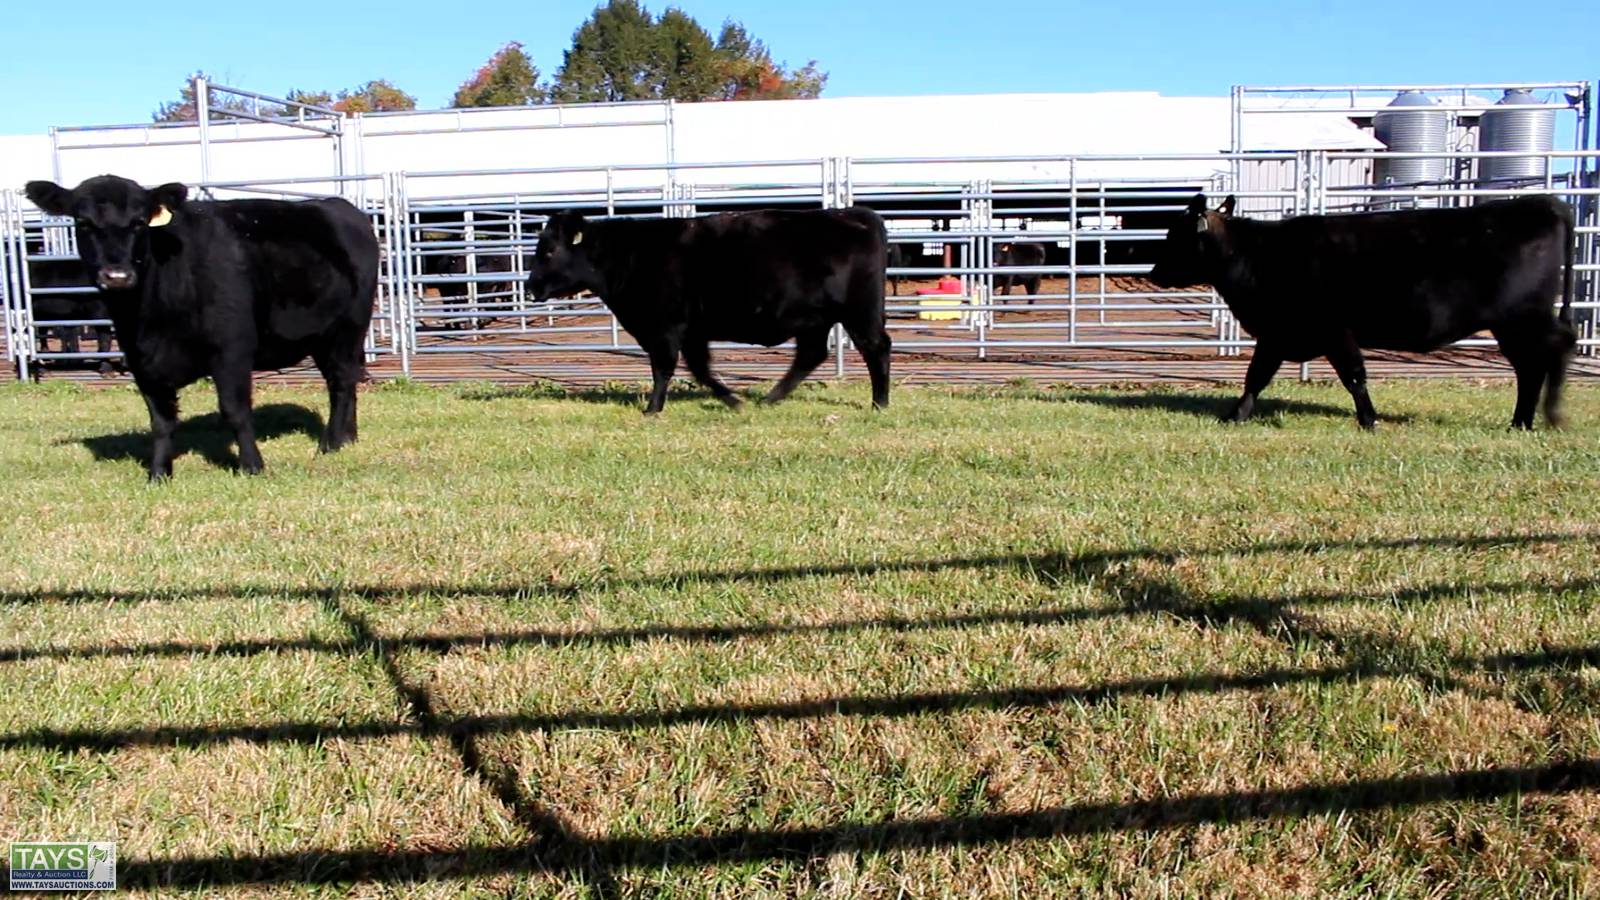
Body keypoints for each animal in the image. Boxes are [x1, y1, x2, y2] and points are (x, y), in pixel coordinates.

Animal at [24, 175, 379, 480]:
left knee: (340, 382)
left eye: (139, 222)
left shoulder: (232, 349)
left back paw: (331, 443)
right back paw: (349, 436)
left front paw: (252, 466)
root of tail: (340, 206)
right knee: (345, 380)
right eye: (83, 223)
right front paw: (159, 473)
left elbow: (234, 409)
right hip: (323, 337)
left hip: (347, 328)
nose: (117, 276)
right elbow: (161, 420)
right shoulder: (141, 360)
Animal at [525, 207, 892, 413]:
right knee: (811, 355)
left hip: (859, 312)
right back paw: (770, 399)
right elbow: (700, 370)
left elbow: (664, 369)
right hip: (815, 320)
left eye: (550, 250)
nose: (531, 288)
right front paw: (733, 401)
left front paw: (652, 409)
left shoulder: (663, 328)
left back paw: (879, 403)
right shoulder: (691, 332)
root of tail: (853, 214)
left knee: (877, 348)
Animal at [1148, 193, 1576, 431]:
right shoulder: (1278, 333)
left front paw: (1370, 420)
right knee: (1530, 367)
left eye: (1175, 237)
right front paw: (1236, 415)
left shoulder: (1334, 329)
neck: (1259, 254)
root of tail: (1544, 203)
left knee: (1555, 350)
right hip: (1514, 327)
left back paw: (1550, 415)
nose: (1153, 272)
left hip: (1525, 318)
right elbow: (1257, 377)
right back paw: (1521, 422)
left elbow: (1354, 376)